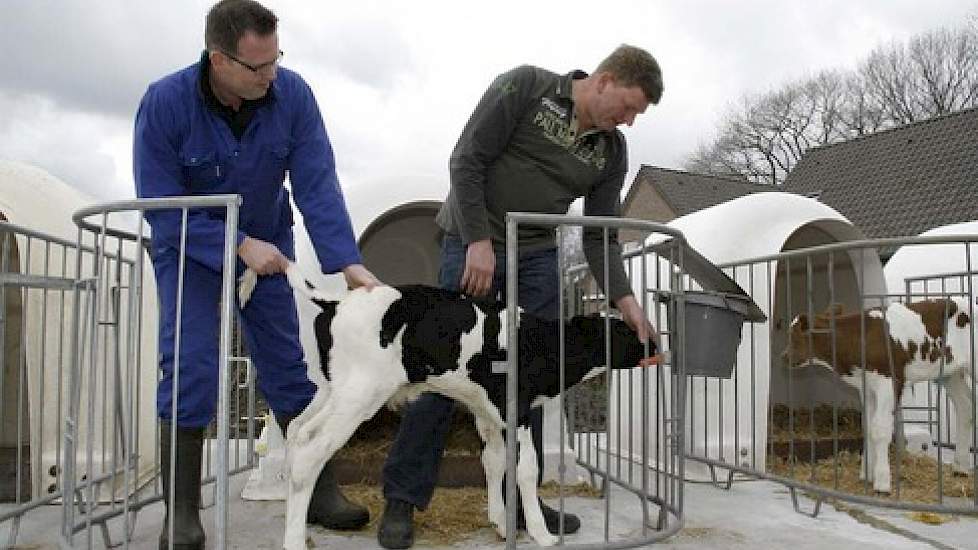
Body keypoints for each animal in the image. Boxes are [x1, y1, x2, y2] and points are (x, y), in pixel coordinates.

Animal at [236, 266, 648, 548]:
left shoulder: (486, 411)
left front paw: (500, 521)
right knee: (310, 452)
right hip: (359, 395)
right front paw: (542, 534)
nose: (655, 343)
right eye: (626, 331)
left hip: (332, 391)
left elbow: (493, 461)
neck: (541, 341)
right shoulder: (517, 408)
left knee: (297, 432)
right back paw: (293, 540)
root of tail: (338, 301)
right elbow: (527, 468)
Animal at [780, 300, 972, 494]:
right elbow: (867, 427)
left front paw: (882, 482)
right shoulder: (866, 388)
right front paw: (866, 474)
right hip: (950, 373)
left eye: (794, 335)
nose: (783, 356)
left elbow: (880, 430)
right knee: (965, 407)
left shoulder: (888, 382)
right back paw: (960, 468)